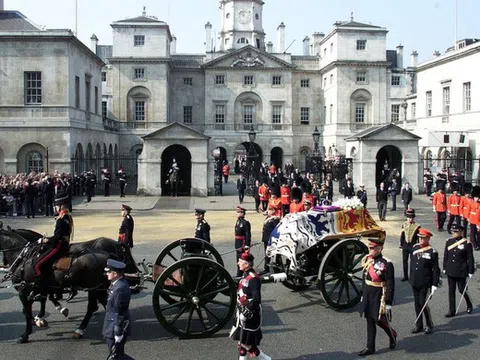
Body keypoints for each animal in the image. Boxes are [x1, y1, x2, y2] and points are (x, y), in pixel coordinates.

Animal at [0, 228, 141, 344]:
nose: (4, 263)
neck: (24, 258)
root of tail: (108, 254)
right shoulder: (40, 288)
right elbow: (37, 304)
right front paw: (40, 319)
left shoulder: (24, 291)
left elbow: (28, 311)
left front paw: (26, 333)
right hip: (97, 288)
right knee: (103, 304)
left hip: (94, 288)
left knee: (94, 307)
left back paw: (81, 330)